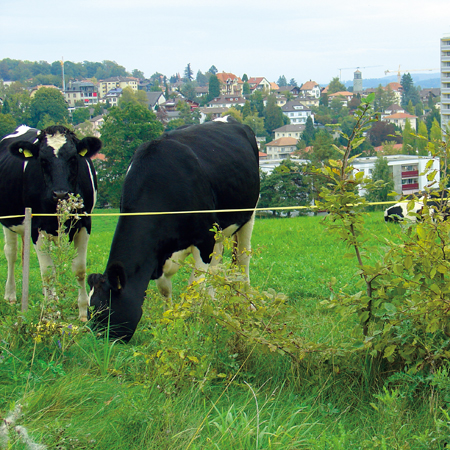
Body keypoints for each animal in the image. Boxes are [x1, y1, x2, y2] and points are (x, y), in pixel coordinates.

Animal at [0, 124, 101, 320]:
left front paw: (83, 312)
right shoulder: (37, 228)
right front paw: (51, 313)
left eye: (73, 158)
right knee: (11, 253)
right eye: (43, 160)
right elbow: (48, 272)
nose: (60, 193)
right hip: (9, 221)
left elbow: (79, 269)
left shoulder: (85, 224)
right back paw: (10, 295)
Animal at [88, 116, 260, 342]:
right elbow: (165, 288)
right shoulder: (159, 253)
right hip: (220, 231)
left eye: (103, 311)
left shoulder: (204, 241)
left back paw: (247, 304)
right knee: (217, 265)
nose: (93, 343)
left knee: (242, 259)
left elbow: (196, 285)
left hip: (249, 214)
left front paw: (196, 324)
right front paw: (169, 320)